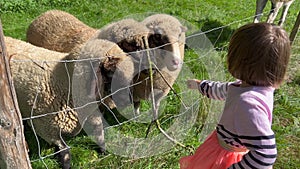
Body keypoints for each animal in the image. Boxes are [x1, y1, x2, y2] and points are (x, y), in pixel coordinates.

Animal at [5, 36, 127, 168]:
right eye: (112, 73)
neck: (65, 79)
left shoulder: (90, 111)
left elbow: (98, 130)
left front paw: (103, 150)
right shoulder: (47, 127)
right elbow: (64, 149)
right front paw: (65, 163)